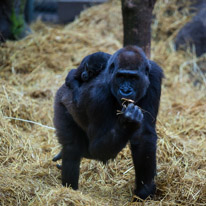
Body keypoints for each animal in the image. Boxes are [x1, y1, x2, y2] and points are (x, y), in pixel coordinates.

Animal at [53, 45, 164, 200]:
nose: (126, 90)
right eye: (121, 76)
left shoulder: (154, 76)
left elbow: (144, 136)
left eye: (133, 78)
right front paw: (128, 122)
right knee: (72, 147)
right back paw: (70, 191)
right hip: (61, 101)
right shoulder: (97, 97)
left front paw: (145, 190)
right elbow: (97, 148)